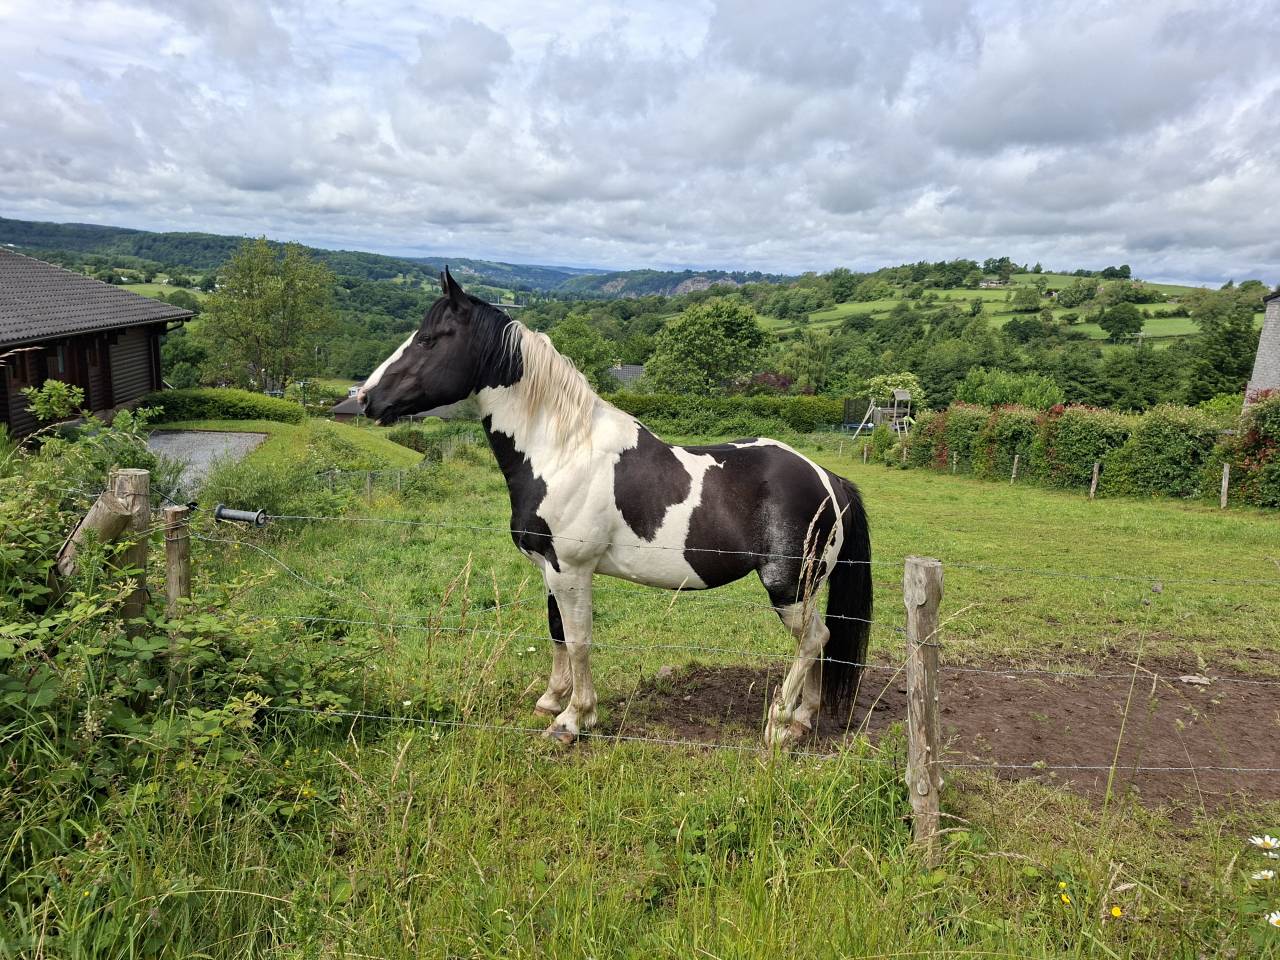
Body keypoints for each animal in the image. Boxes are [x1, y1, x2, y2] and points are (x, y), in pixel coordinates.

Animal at [359, 269, 872, 747]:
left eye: (428, 339)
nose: (365, 399)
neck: (563, 451)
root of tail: (829, 480)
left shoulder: (572, 568)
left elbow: (580, 640)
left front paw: (574, 719)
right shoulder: (549, 567)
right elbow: (557, 633)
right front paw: (551, 700)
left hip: (789, 587)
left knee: (813, 641)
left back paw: (779, 723)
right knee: (822, 642)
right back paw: (803, 719)